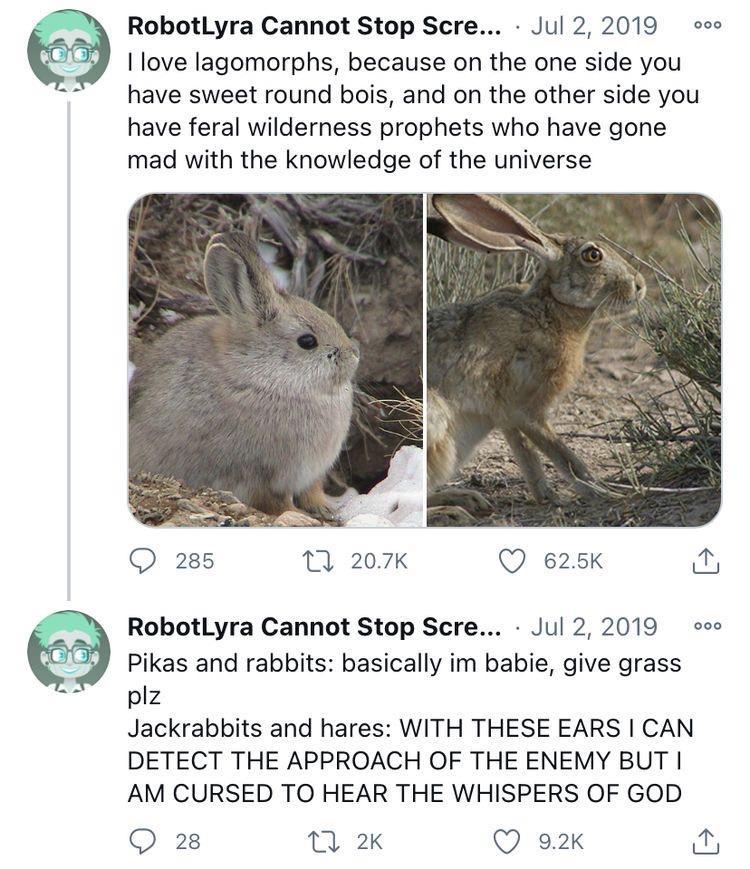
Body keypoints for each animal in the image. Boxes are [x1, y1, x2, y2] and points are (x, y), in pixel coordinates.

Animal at [129, 230, 360, 518]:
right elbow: (275, 502)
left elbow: (312, 491)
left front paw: (326, 509)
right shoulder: (259, 474)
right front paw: (301, 516)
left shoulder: (310, 474)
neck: (263, 375)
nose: (354, 355)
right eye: (307, 341)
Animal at [427, 194, 646, 517]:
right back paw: (451, 512)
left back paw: (466, 499)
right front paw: (604, 493)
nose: (640, 285)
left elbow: (528, 456)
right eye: (593, 255)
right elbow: (564, 456)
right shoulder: (525, 408)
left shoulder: (506, 417)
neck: (549, 308)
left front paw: (549, 497)